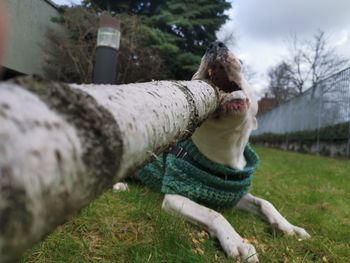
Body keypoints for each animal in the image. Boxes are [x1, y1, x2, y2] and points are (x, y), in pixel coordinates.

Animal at [114, 42, 308, 262]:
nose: (216, 44)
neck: (225, 151)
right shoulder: (176, 197)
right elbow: (213, 213)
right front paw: (238, 243)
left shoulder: (233, 196)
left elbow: (265, 202)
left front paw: (289, 227)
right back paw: (119, 185)